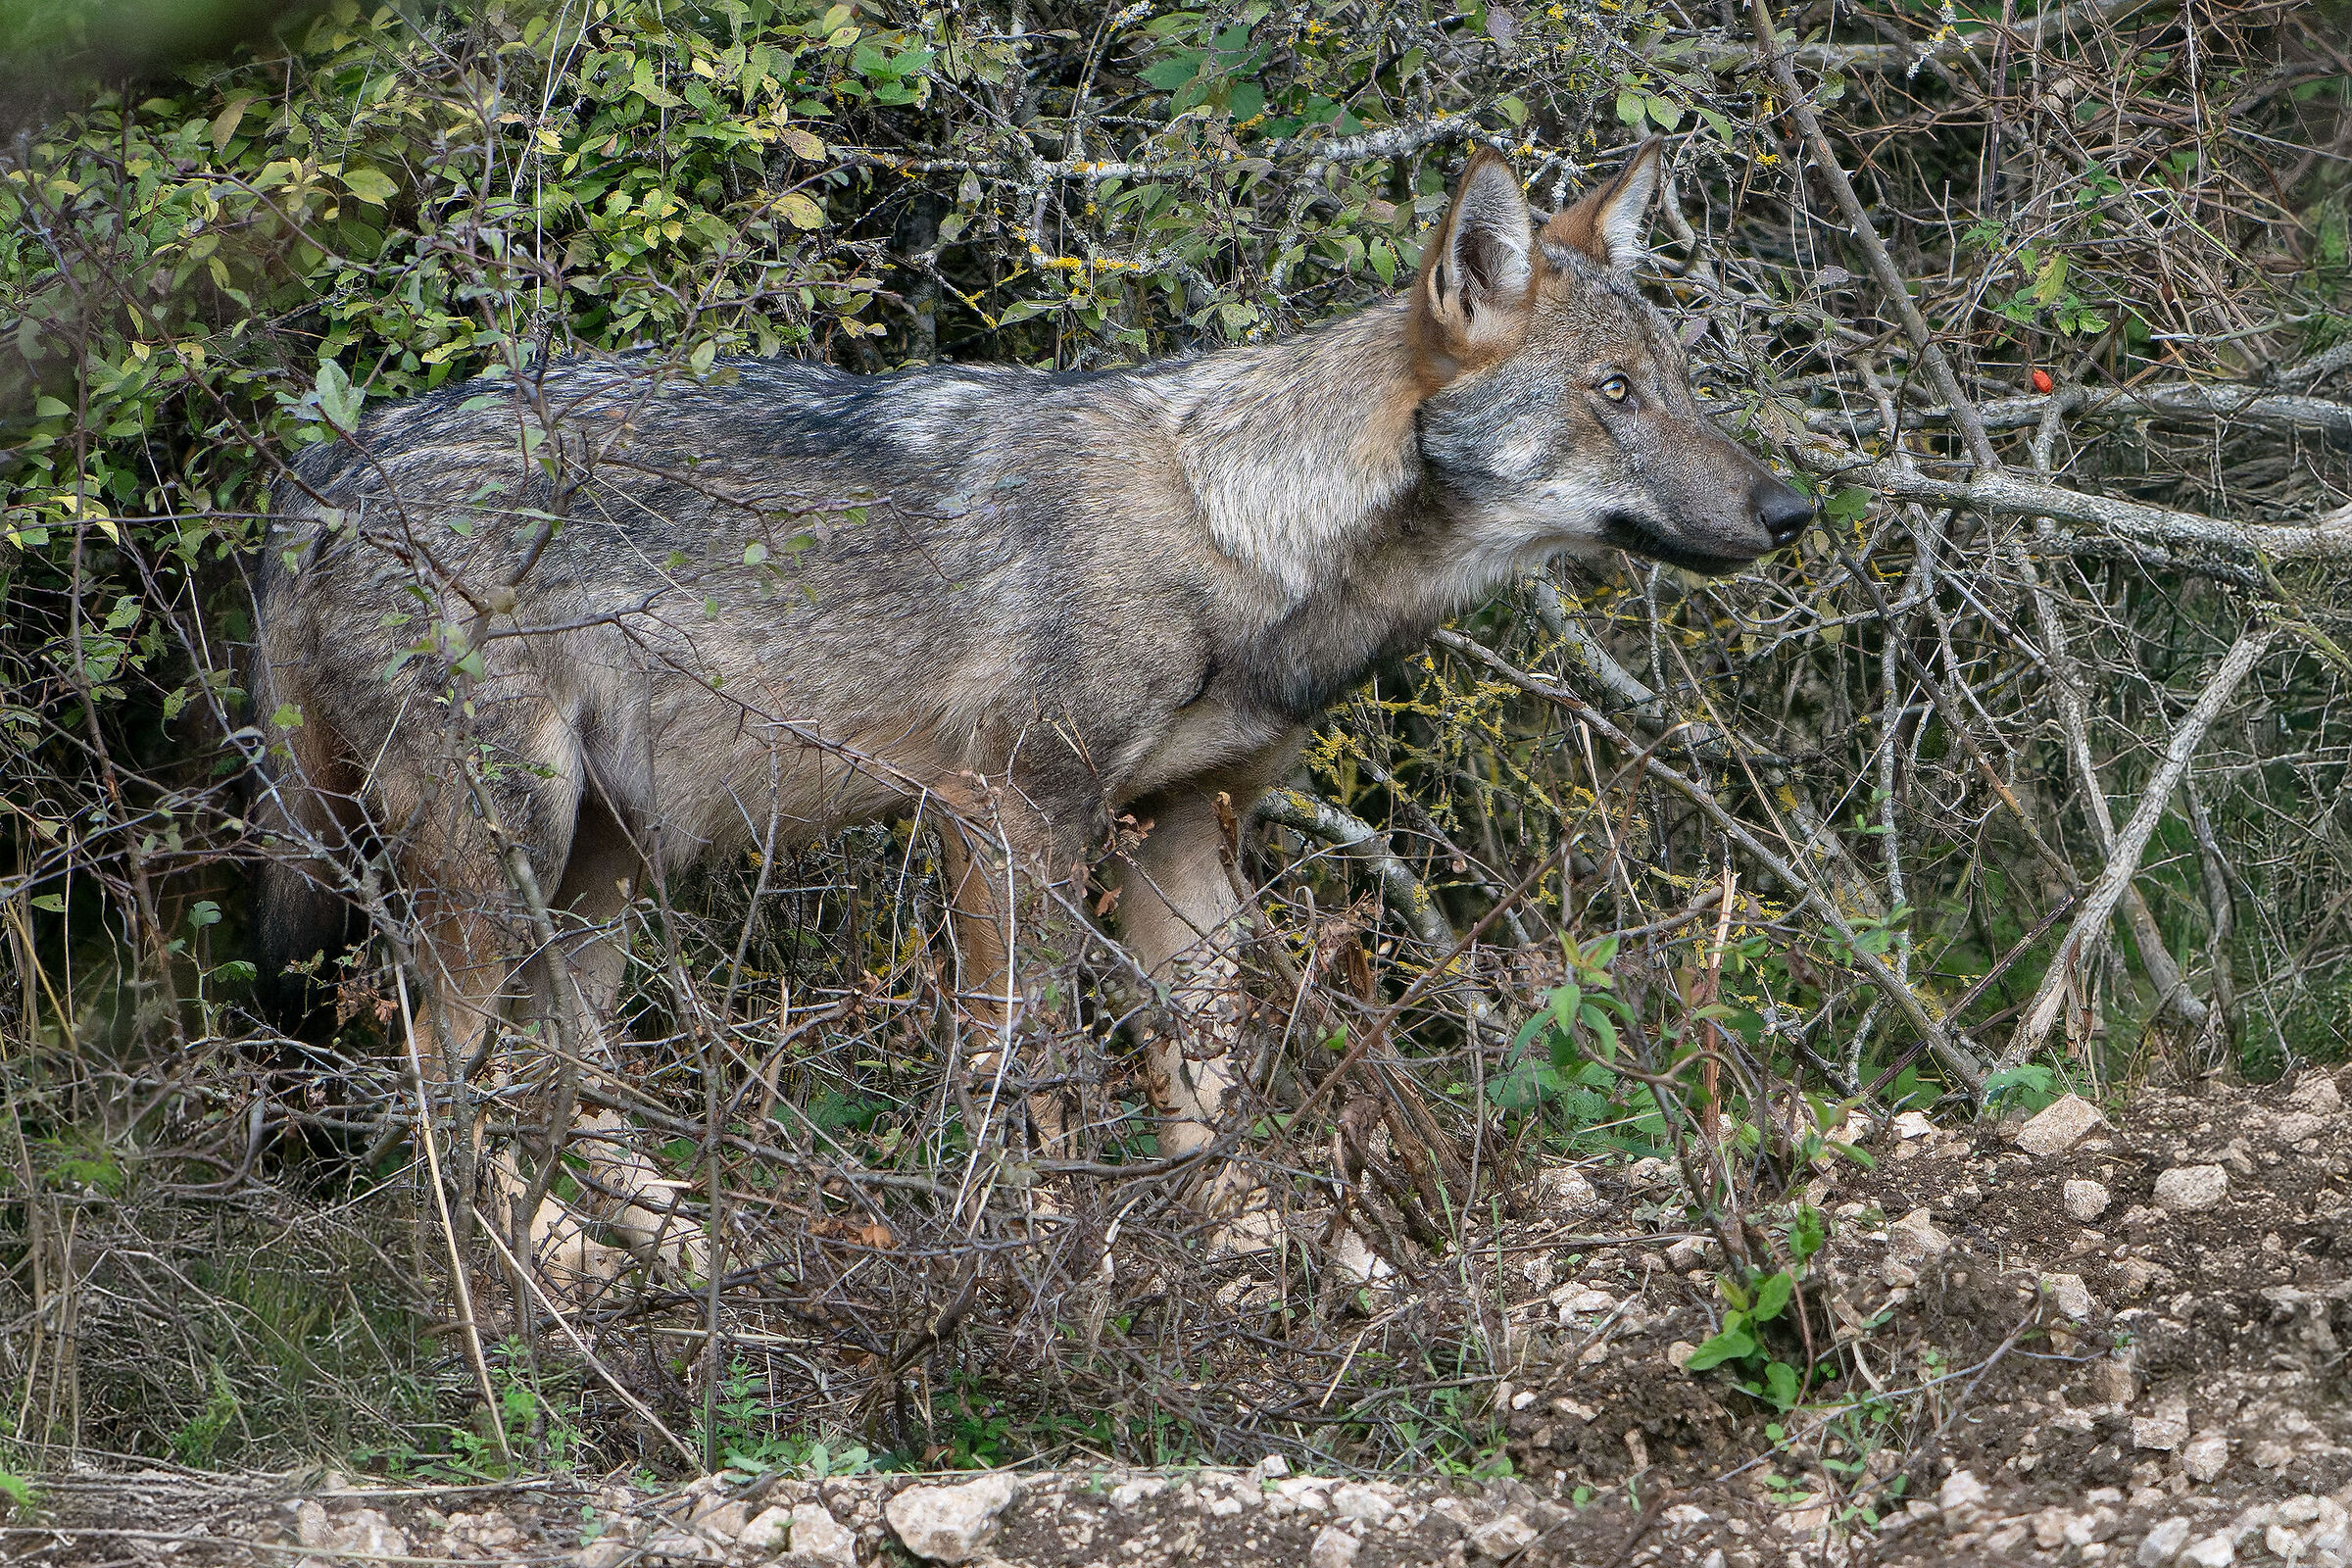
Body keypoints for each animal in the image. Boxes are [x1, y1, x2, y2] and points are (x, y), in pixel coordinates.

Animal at [251, 139, 1810, 1276]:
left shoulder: (1184, 842)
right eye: (1614, 393)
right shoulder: (1008, 818)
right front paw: (1055, 1270)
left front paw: (1289, 1264)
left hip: (602, 873)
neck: (1243, 534)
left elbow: (1211, 1096)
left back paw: (679, 1268)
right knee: (432, 1081)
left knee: (558, 1079)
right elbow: (1036, 1077)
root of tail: (328, 469)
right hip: (502, 864)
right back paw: (529, 1296)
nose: (1791, 511)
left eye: (1682, 385)